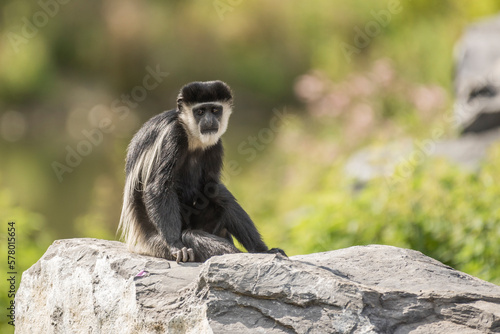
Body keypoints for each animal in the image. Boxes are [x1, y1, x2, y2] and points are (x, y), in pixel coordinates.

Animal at [117, 79, 288, 262]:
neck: (192, 137)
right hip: (156, 244)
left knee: (220, 196)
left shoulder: (215, 145)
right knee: (189, 235)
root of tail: (139, 243)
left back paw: (263, 251)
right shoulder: (173, 136)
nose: (209, 120)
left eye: (214, 110)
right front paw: (176, 245)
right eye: (199, 112)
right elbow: (159, 187)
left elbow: (211, 187)